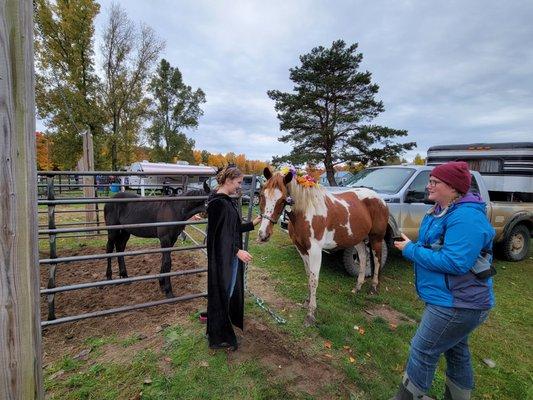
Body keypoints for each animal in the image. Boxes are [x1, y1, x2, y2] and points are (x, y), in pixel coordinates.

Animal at [258, 167, 386, 326]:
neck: (306, 211)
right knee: (363, 256)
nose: (263, 234)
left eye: (283, 200)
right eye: (261, 196)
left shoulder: (315, 251)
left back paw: (374, 287)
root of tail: (380, 199)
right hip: (358, 238)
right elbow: (308, 276)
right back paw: (357, 287)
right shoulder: (301, 249)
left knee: (377, 258)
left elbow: (314, 280)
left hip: (376, 238)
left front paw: (311, 313)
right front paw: (307, 302)